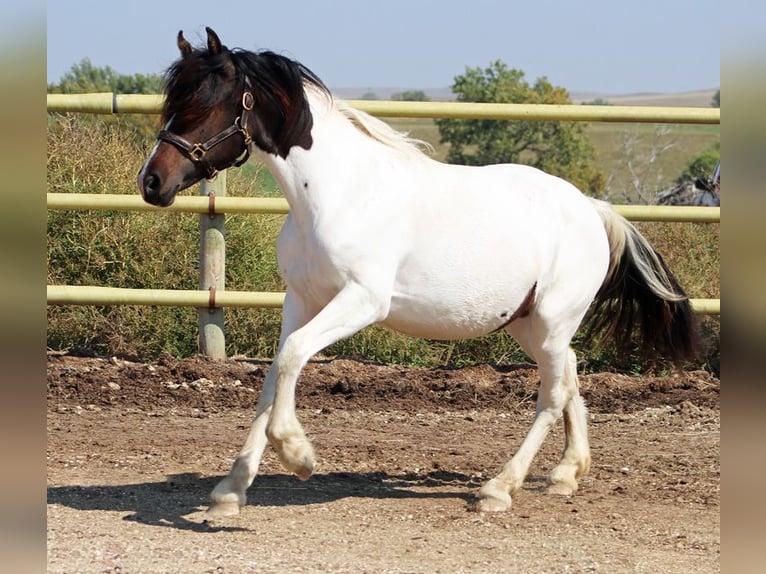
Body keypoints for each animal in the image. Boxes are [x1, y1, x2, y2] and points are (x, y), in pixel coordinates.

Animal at [137, 28, 700, 516]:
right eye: (173, 100)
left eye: (207, 102)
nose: (152, 181)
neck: (336, 192)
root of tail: (592, 208)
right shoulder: (302, 298)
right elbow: (276, 373)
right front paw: (231, 490)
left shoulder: (362, 301)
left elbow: (294, 357)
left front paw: (298, 455)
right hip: (528, 323)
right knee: (572, 372)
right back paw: (566, 474)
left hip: (553, 319)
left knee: (553, 392)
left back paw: (499, 488)